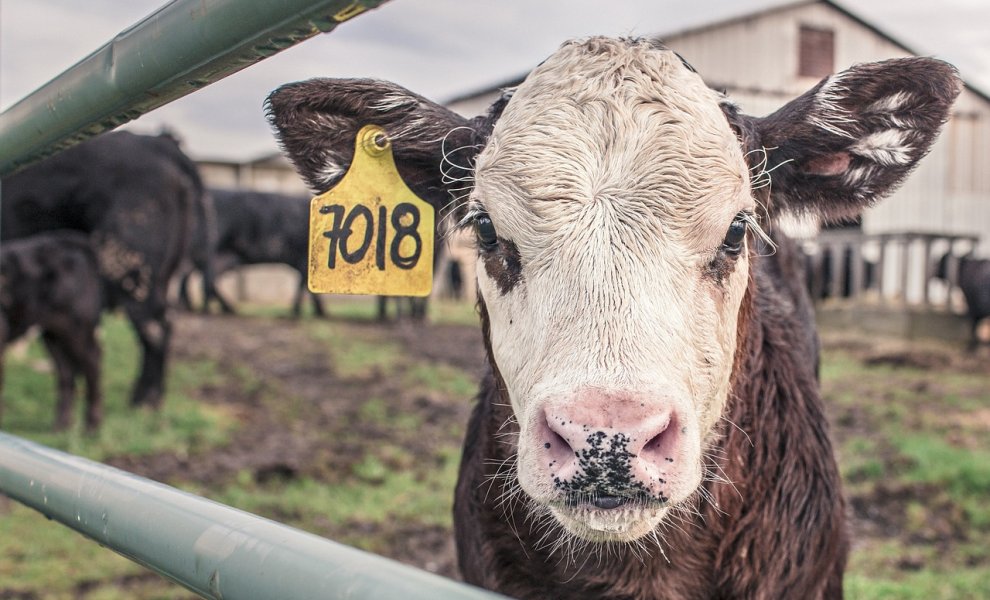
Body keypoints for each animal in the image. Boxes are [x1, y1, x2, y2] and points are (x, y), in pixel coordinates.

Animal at [0, 231, 104, 432]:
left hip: (77, 327)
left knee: (92, 362)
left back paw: (91, 426)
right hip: (53, 333)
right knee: (66, 371)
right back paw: (61, 425)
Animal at [174, 188, 322, 318]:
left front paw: (314, 311)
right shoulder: (304, 258)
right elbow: (304, 285)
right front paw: (305, 312)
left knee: (195, 275)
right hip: (210, 250)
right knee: (203, 278)